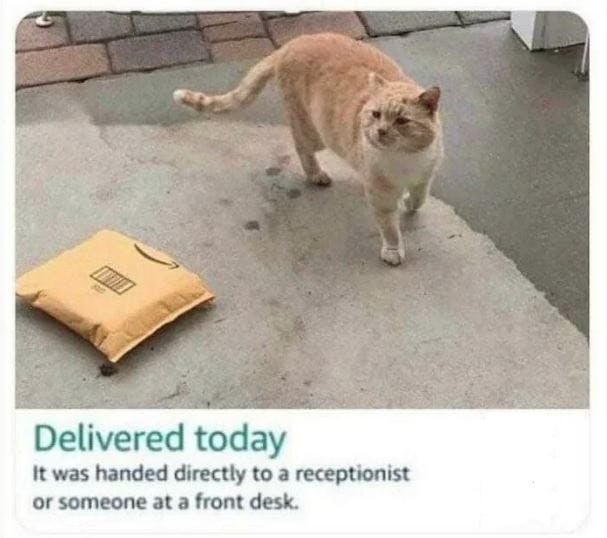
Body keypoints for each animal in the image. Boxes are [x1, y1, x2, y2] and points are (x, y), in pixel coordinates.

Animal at [173, 32, 444, 264]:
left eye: (402, 121)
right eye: (376, 114)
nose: (380, 131)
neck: (404, 158)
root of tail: (292, 43)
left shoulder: (426, 174)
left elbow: (420, 197)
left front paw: (410, 203)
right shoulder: (380, 193)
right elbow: (389, 226)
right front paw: (393, 249)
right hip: (315, 132)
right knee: (301, 146)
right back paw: (315, 174)